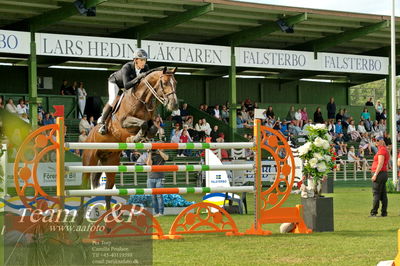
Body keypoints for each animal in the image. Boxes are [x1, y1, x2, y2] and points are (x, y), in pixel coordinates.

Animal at [80, 66, 177, 210]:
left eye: (175, 83)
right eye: (164, 83)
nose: (174, 105)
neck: (142, 100)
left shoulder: (150, 122)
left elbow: (152, 128)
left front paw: (143, 137)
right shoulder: (124, 122)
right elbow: (142, 124)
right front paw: (135, 138)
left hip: (111, 164)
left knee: (108, 191)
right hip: (89, 161)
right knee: (83, 186)